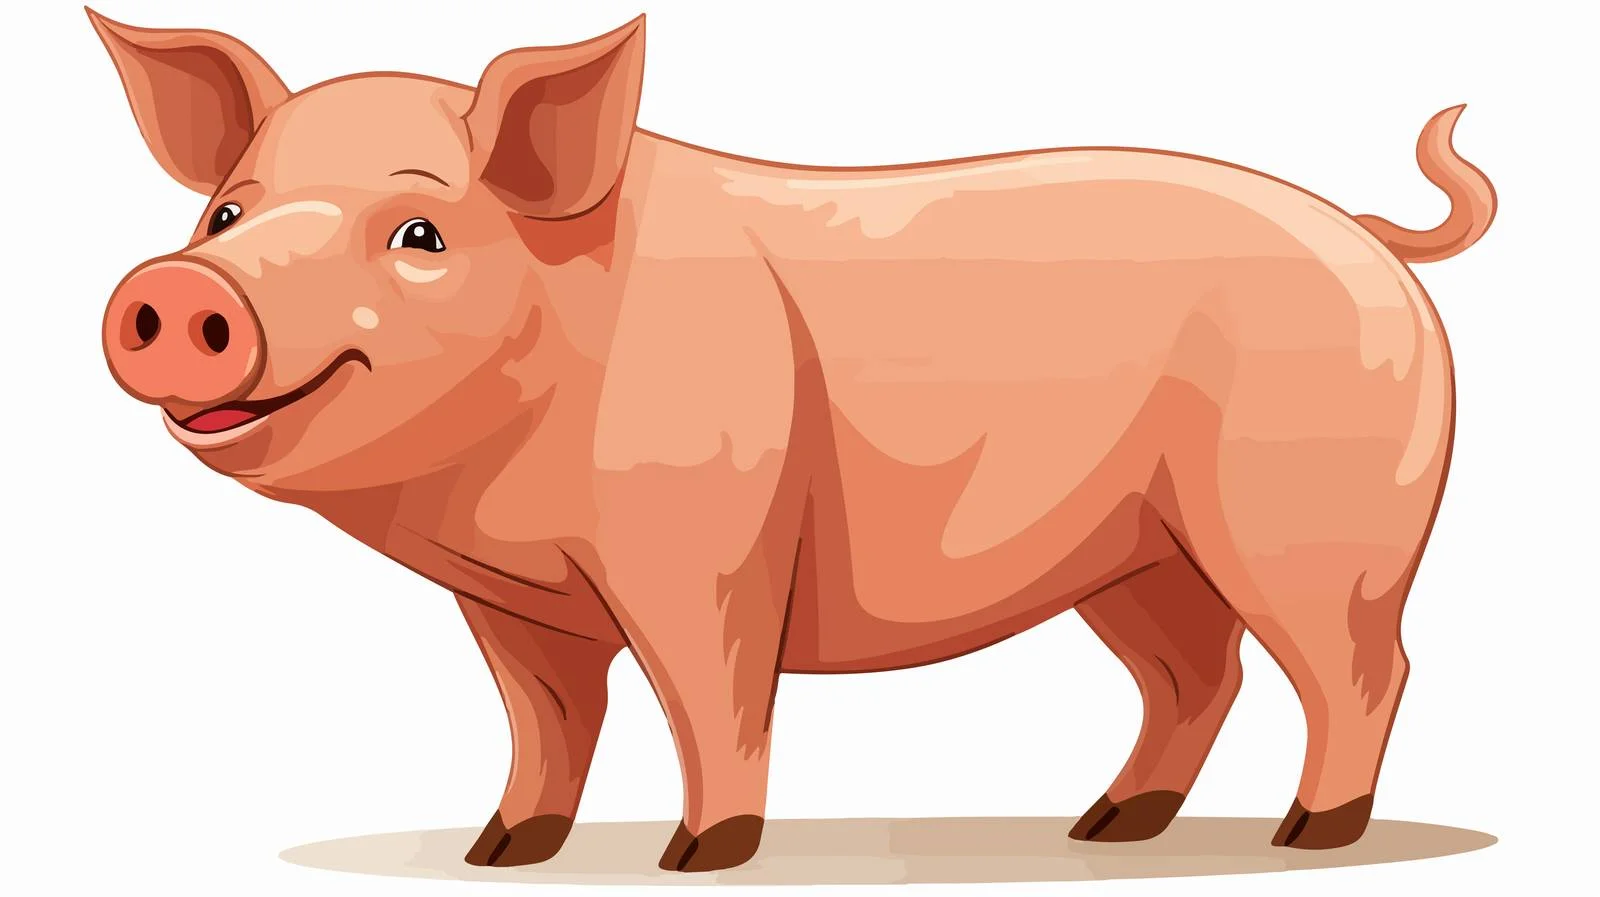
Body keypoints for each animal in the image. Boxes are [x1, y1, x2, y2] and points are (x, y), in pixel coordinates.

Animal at [90, 8, 1494, 873]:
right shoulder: (512, 605)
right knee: (1199, 675)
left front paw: (695, 858)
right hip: (1138, 555)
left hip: (1310, 529)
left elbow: (712, 697)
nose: (182, 290)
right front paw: (502, 850)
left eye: (418, 234)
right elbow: (545, 719)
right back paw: (1105, 829)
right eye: (225, 212)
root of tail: (1376, 237)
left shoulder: (705, 551)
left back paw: (1308, 837)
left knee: (1363, 666)